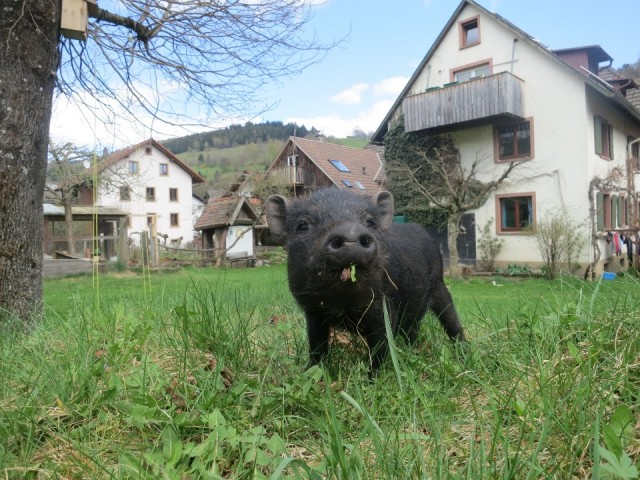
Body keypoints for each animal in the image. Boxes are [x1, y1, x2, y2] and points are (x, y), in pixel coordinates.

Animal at [265, 188, 465, 373]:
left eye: (370, 222)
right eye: (302, 225)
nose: (351, 233)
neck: (344, 305)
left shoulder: (383, 308)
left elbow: (380, 347)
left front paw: (373, 379)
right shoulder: (313, 312)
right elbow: (316, 345)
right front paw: (310, 372)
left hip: (439, 284)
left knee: (451, 320)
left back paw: (463, 353)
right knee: (412, 330)